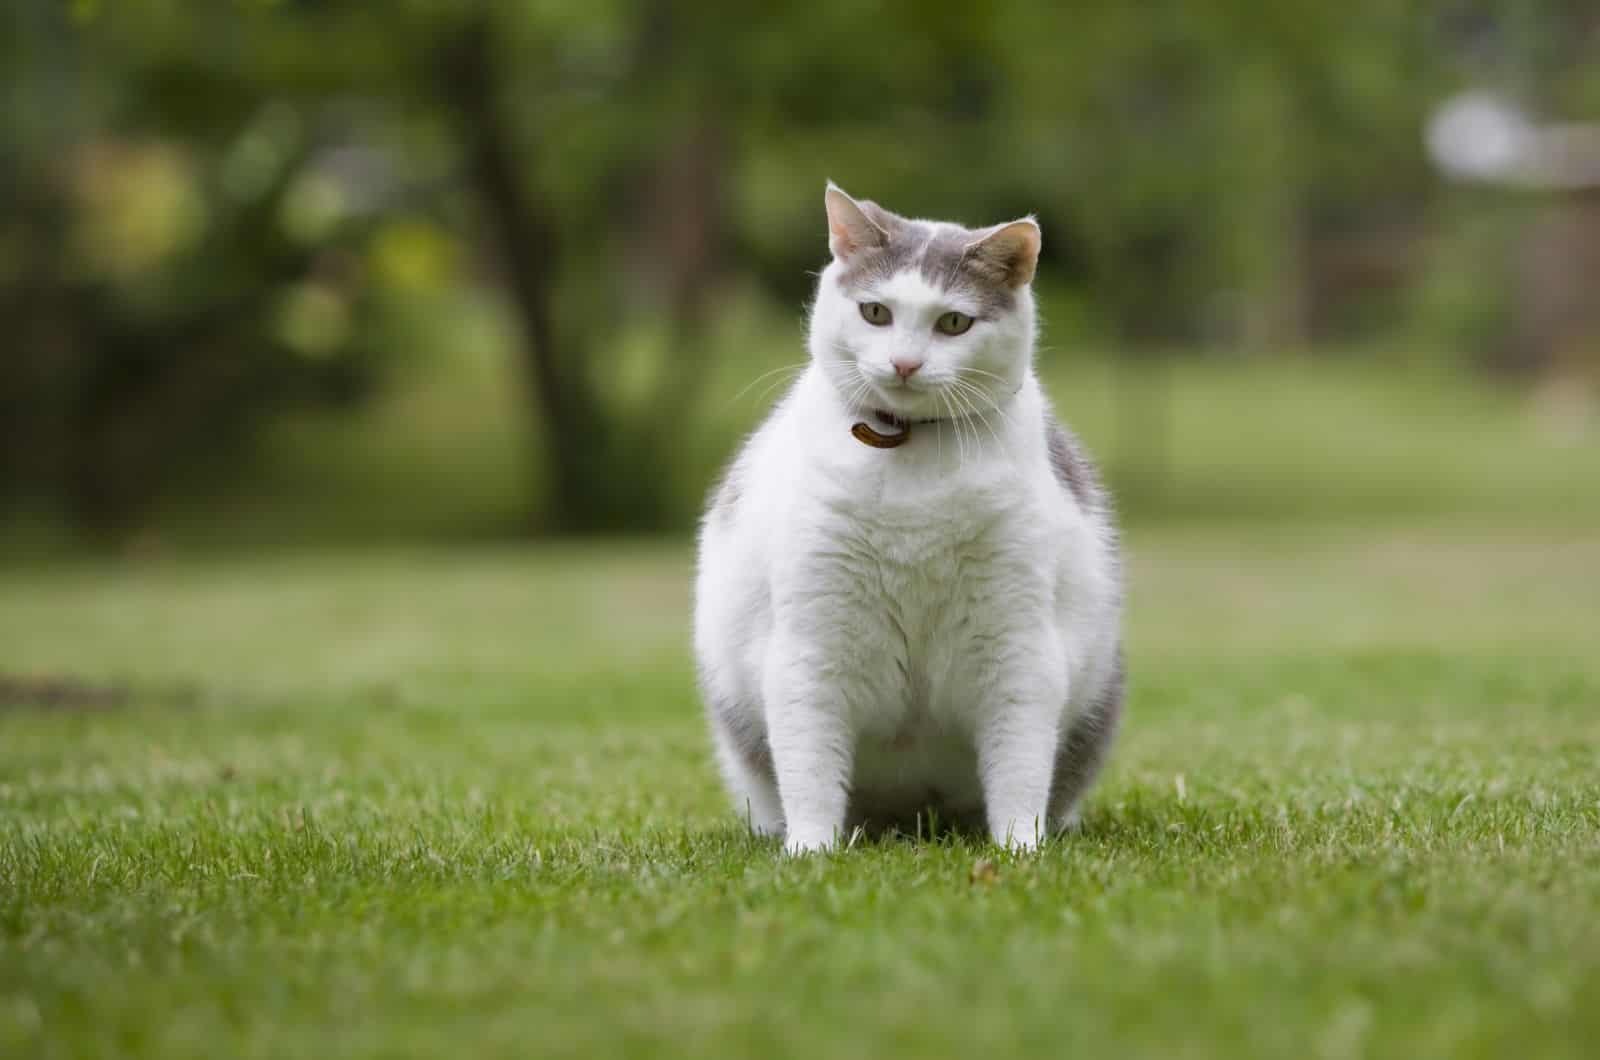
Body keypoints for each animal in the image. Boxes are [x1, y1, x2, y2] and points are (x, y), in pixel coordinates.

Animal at [691, 184, 1126, 858]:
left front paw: (1020, 851)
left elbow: (1020, 766)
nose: (903, 364)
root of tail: (913, 818)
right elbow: (809, 768)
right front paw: (810, 853)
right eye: (875, 312)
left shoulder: (1015, 643)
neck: (909, 453)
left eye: (954, 322)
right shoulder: (812, 645)